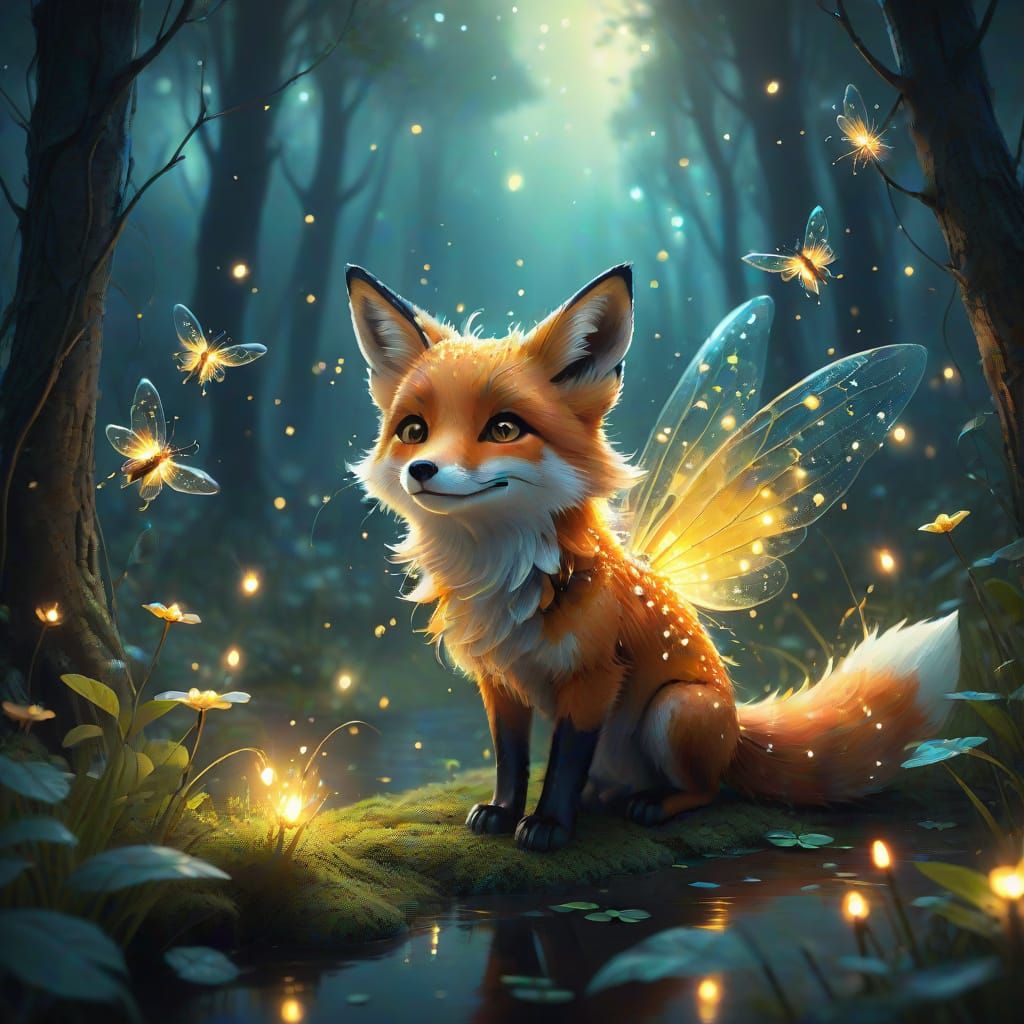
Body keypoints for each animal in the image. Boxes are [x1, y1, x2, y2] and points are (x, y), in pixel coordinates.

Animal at [347, 262, 960, 853]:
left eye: (503, 429)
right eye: (414, 430)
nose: (421, 470)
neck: (508, 578)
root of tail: (736, 730)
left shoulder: (594, 678)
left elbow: (563, 764)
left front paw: (548, 827)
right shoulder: (499, 681)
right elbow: (511, 759)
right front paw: (502, 812)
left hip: (675, 710)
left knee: (706, 789)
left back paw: (653, 805)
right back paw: (604, 797)